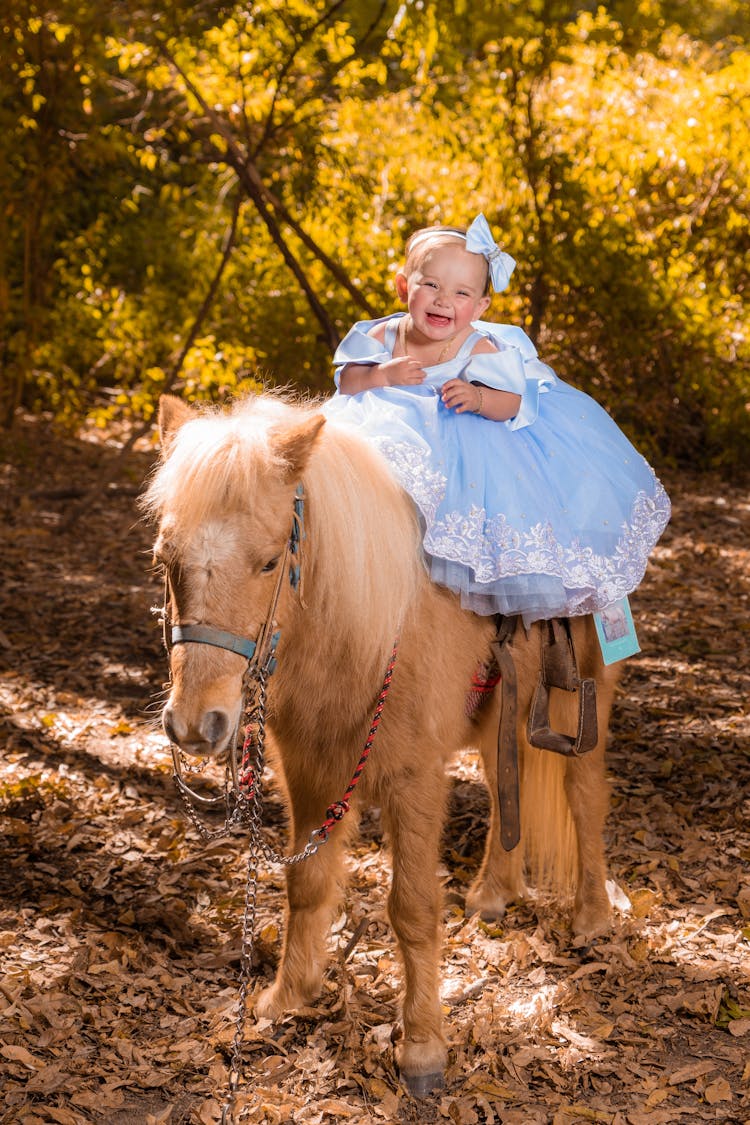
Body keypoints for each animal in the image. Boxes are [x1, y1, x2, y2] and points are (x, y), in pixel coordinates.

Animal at [142, 391, 620, 1093]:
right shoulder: (310, 773)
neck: (360, 628)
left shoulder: (413, 781)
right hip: (498, 715)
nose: (196, 726)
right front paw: (287, 997)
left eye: (269, 561)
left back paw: (590, 916)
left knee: (584, 800)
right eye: (165, 560)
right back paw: (494, 893)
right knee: (505, 787)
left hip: (587, 701)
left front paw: (422, 1046)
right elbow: (307, 883)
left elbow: (413, 909)